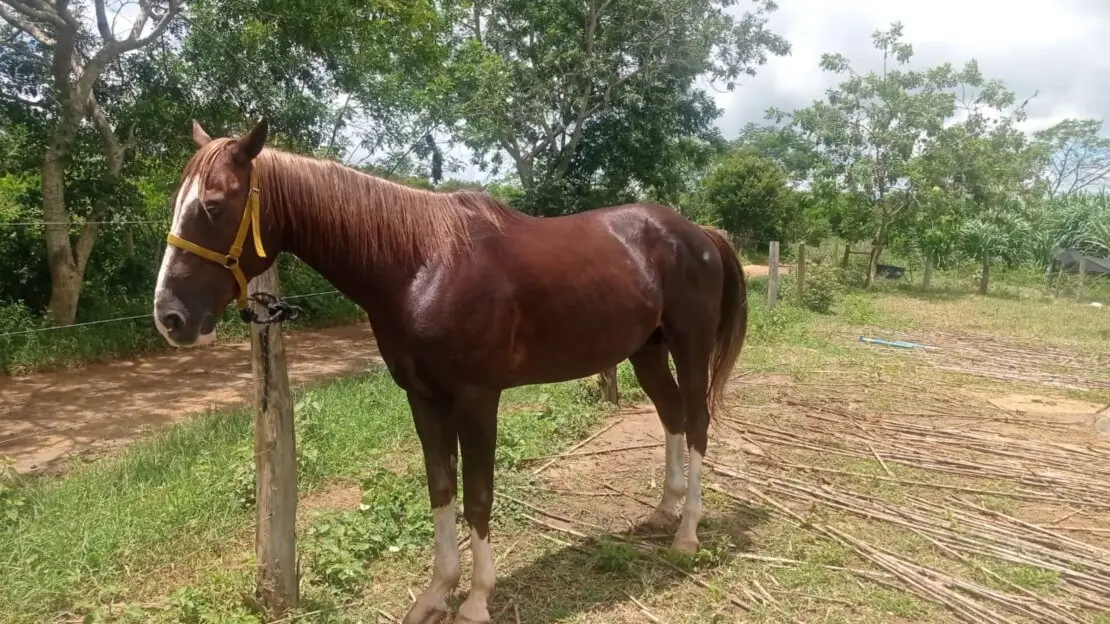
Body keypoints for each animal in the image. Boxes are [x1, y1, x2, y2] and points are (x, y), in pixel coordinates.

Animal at [152, 119, 748, 624]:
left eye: (213, 205)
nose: (170, 317)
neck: (421, 265)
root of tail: (698, 233)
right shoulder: (422, 398)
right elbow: (441, 488)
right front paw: (436, 593)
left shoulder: (478, 399)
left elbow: (479, 495)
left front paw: (477, 601)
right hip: (645, 351)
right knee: (671, 417)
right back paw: (663, 512)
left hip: (690, 347)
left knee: (697, 423)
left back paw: (688, 533)